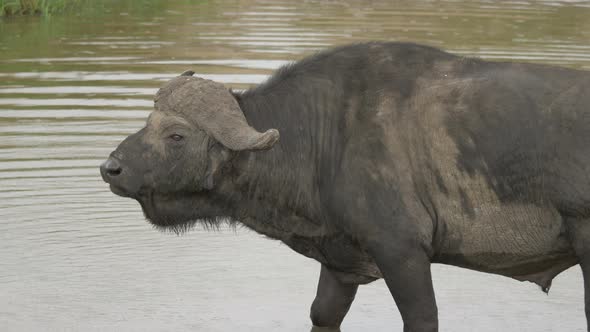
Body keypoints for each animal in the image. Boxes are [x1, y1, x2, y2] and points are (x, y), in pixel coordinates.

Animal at [100, 42, 590, 330]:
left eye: (175, 136)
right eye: (148, 123)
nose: (110, 168)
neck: (325, 138)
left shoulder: (402, 253)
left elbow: (422, 317)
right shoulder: (339, 263)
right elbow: (322, 313)